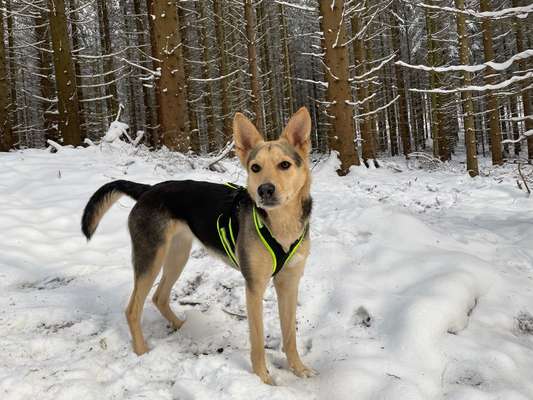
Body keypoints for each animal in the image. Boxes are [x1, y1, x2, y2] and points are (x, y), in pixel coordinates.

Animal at [81, 107, 314, 384]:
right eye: (255, 167)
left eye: (285, 165)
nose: (264, 190)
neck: (281, 225)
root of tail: (148, 190)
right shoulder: (254, 287)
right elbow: (257, 342)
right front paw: (263, 380)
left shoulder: (290, 282)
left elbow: (290, 336)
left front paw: (299, 369)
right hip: (150, 257)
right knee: (132, 309)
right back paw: (141, 351)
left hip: (177, 254)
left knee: (159, 297)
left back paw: (181, 326)